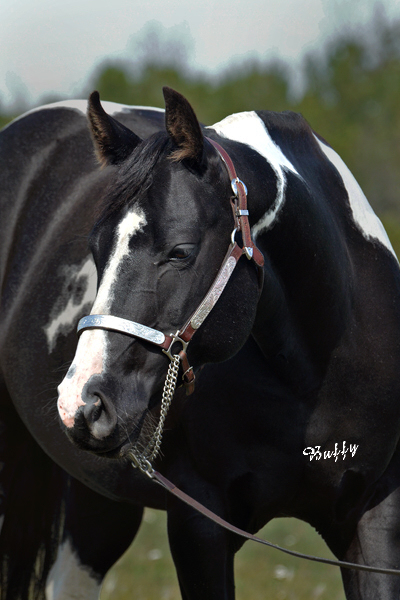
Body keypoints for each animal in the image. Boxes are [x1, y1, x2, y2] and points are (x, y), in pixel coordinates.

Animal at [0, 85, 400, 600]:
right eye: (94, 249)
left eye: (180, 252)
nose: (81, 404)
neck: (314, 376)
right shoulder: (199, 527)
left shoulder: (373, 517)